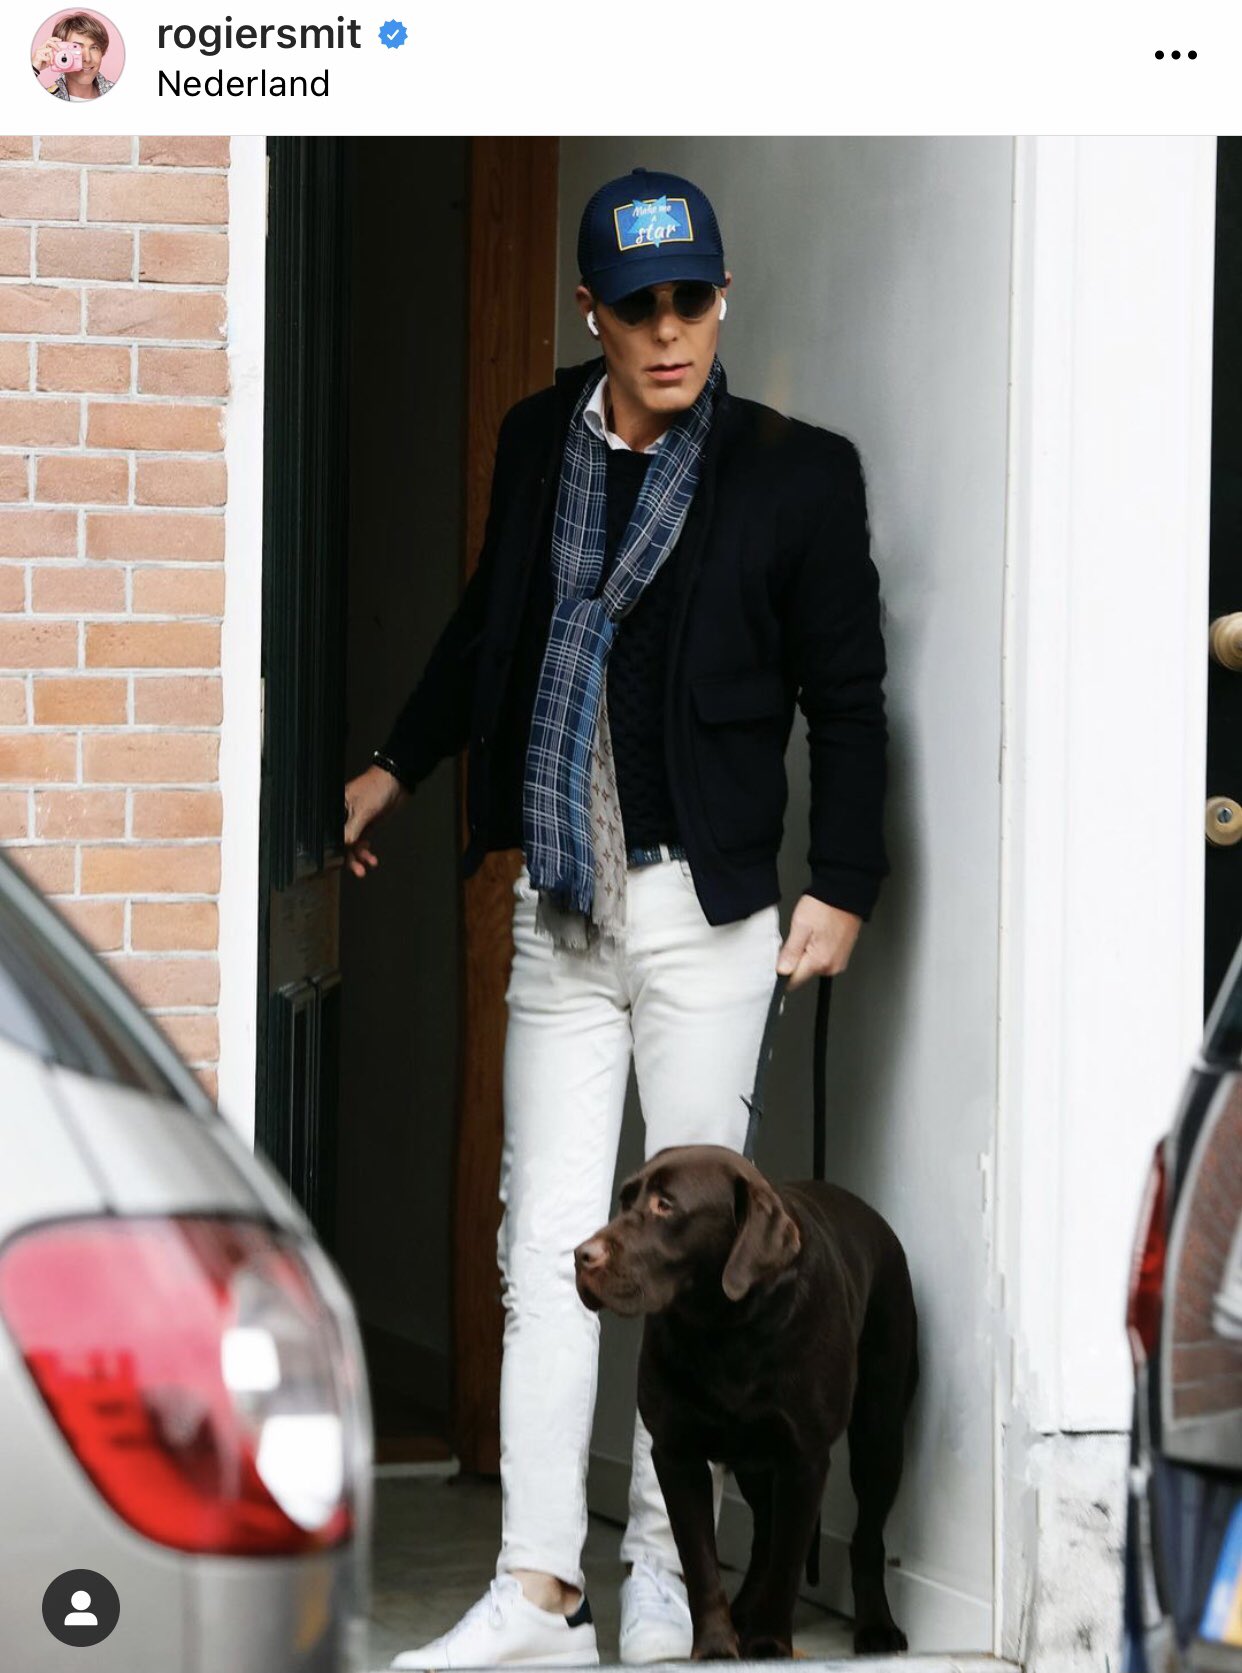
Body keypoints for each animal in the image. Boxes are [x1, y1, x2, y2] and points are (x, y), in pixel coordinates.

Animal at [574, 1144, 918, 1661]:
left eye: (665, 1205)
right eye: (625, 1200)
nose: (581, 1255)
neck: (725, 1330)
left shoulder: (803, 1458)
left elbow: (788, 1564)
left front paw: (771, 1643)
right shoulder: (676, 1454)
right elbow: (701, 1563)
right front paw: (717, 1647)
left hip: (879, 1433)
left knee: (865, 1536)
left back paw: (876, 1627)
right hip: (753, 1460)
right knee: (764, 1535)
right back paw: (743, 1612)